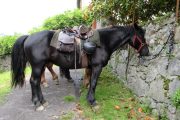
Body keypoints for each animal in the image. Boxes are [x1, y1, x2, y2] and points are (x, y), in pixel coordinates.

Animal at [10, 23, 149, 110]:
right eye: (141, 36)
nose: (147, 52)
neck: (103, 41)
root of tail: (29, 37)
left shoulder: (91, 67)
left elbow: (89, 81)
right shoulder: (97, 67)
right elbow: (94, 83)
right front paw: (92, 102)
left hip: (41, 66)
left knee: (37, 82)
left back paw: (43, 101)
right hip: (38, 66)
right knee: (34, 81)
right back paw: (37, 103)